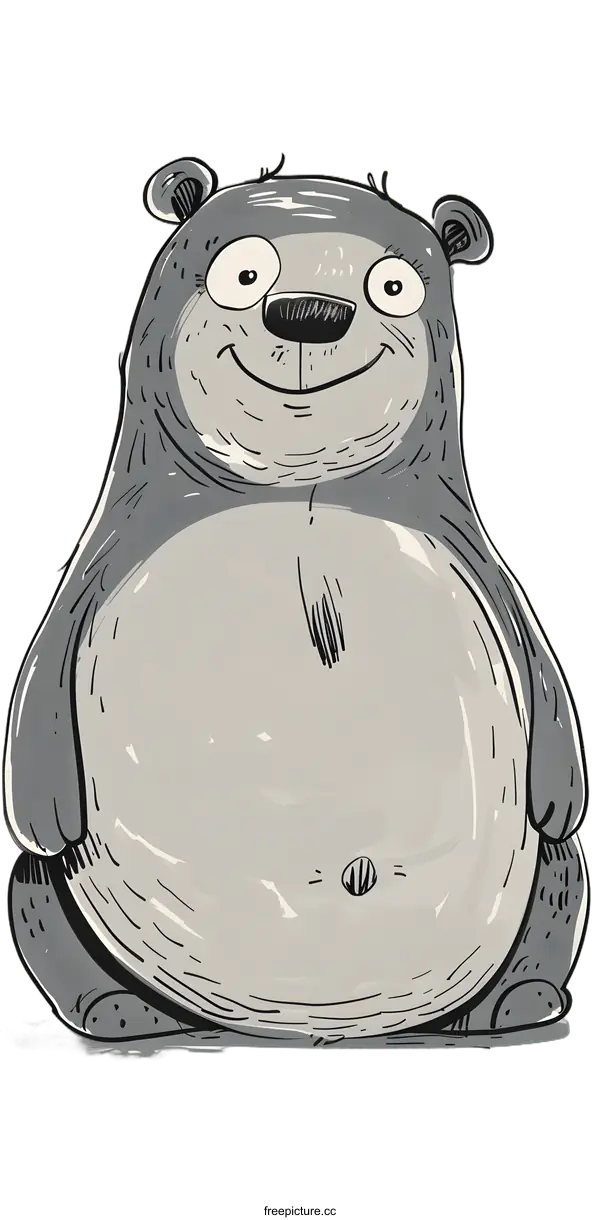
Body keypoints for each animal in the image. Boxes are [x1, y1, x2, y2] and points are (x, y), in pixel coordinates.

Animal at [3, 156, 591, 1052]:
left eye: (392, 286)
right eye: (243, 273)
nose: (311, 315)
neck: (301, 489)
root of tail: (326, 1028)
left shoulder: (486, 571)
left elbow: (552, 717)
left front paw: (561, 797)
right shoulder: (94, 571)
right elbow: (38, 708)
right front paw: (43, 812)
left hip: (543, 885)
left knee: (561, 871)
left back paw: (514, 1004)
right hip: (55, 896)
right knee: (37, 892)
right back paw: (121, 1013)